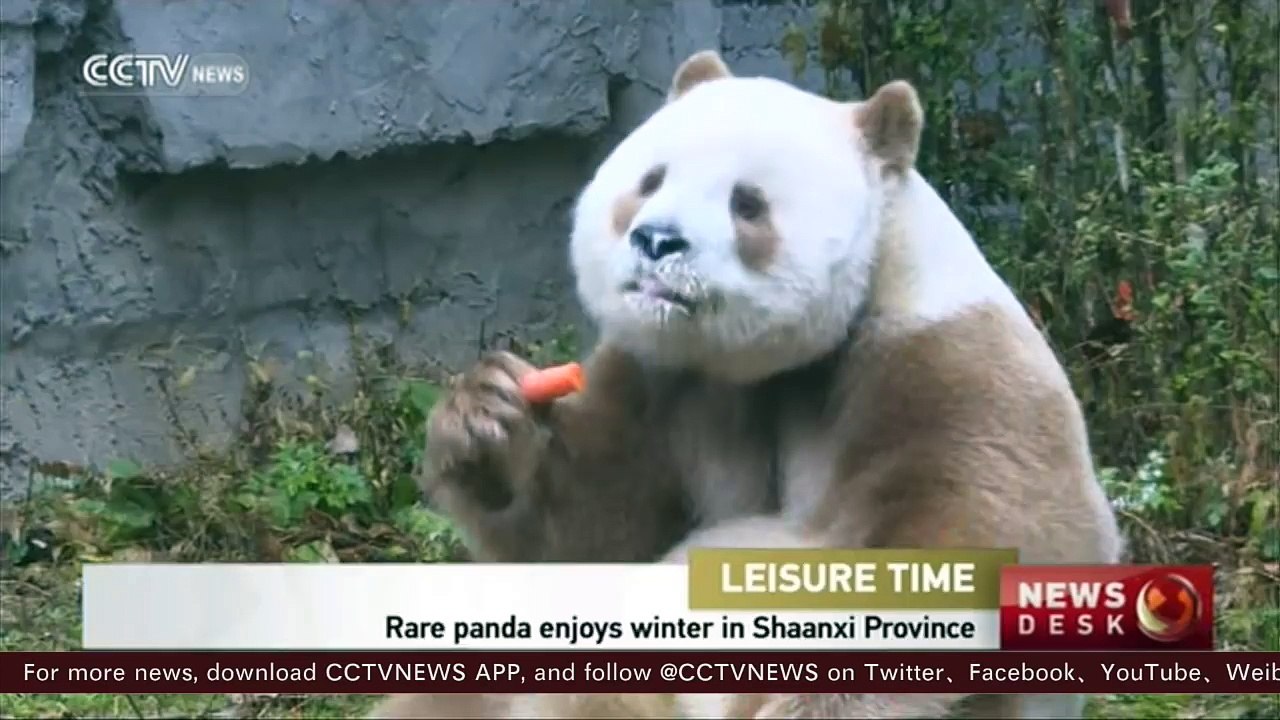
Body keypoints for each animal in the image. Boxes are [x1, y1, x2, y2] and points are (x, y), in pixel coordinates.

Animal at [370, 50, 1121, 719]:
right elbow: (588, 535)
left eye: (747, 203)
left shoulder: (947, 370)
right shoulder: (671, 384)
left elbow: (969, 547)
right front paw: (488, 420)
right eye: (651, 180)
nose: (657, 241)